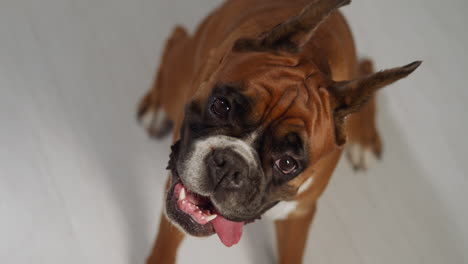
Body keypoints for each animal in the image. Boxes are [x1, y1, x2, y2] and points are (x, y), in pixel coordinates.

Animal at [136, 0, 420, 262]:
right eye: (221, 106)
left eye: (287, 163)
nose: (230, 164)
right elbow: (168, 237)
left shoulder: (299, 215)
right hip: (180, 78)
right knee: (176, 36)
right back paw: (156, 107)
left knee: (366, 64)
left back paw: (363, 139)